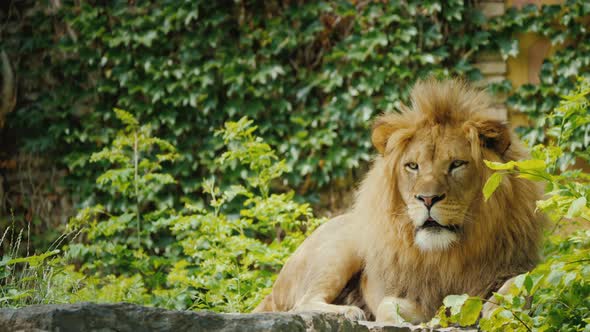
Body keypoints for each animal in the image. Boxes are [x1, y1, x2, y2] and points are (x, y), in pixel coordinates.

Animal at [254, 79, 544, 322]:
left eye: (457, 164)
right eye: (413, 166)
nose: (427, 199)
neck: (449, 254)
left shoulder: (517, 264)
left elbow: (520, 283)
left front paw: (498, 310)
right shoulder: (411, 293)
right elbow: (389, 308)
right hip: (341, 248)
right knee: (301, 303)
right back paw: (350, 310)